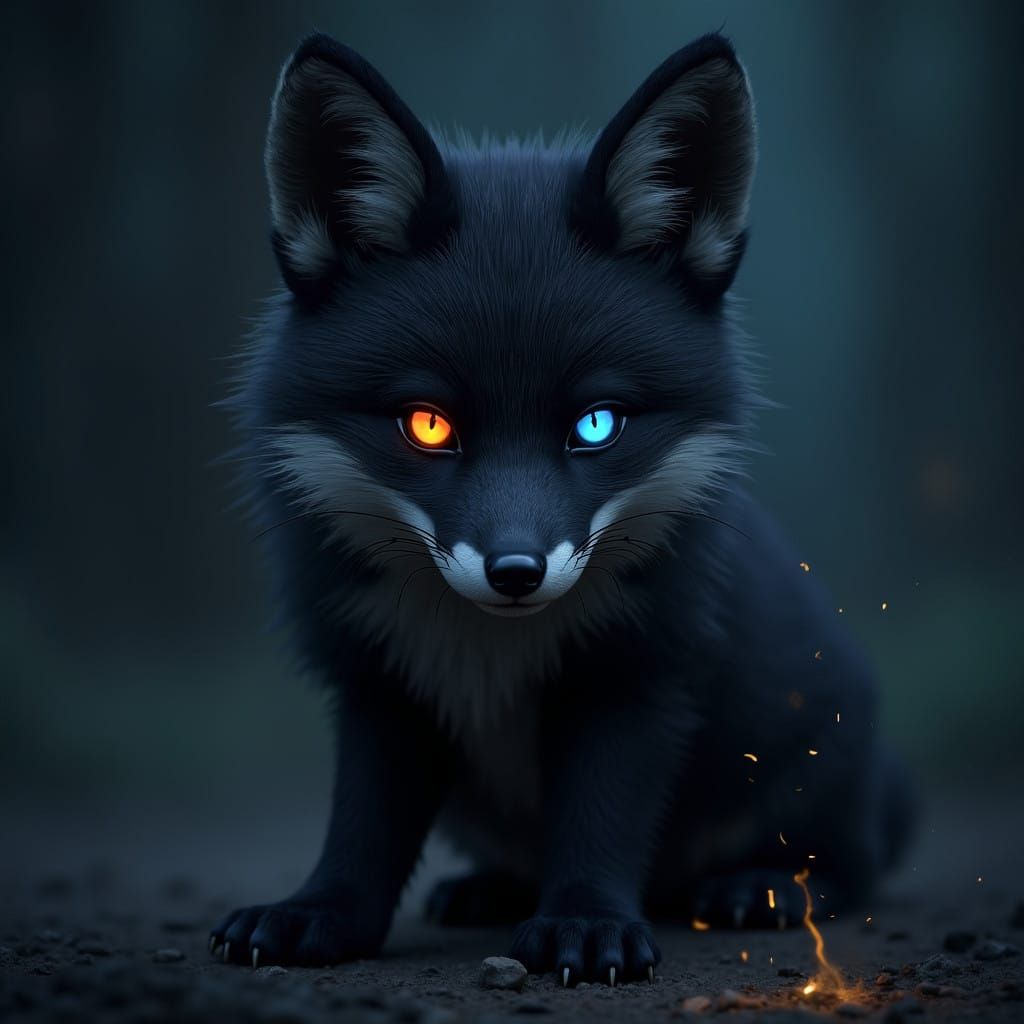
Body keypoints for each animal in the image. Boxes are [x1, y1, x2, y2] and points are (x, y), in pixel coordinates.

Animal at [212, 31, 915, 984]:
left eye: (596, 424)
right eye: (428, 425)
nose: (516, 570)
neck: (491, 659)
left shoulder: (638, 671)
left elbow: (602, 821)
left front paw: (586, 923)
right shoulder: (379, 681)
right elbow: (363, 830)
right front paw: (320, 914)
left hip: (807, 760)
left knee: (852, 863)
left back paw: (761, 885)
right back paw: (491, 889)